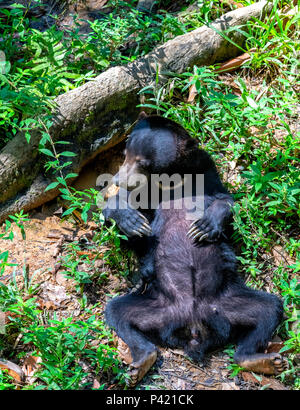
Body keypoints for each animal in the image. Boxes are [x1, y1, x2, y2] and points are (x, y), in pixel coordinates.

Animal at [103, 112, 286, 384]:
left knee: (269, 308)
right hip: (156, 306)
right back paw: (141, 362)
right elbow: (116, 209)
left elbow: (226, 199)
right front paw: (131, 221)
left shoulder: (205, 167)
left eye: (144, 163)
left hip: (228, 301)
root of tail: (193, 327)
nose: (117, 179)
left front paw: (205, 226)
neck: (172, 180)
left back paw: (261, 360)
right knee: (118, 312)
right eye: (125, 153)